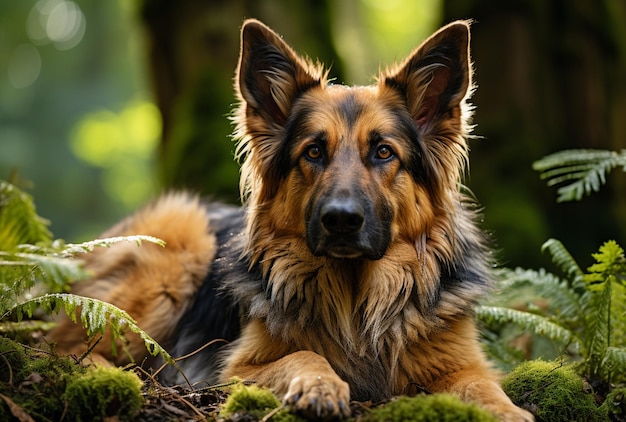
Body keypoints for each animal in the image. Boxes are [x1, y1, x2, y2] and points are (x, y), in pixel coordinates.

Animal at [52, 19, 532, 422]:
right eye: (313, 151)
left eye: (383, 152)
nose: (341, 220)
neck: (356, 300)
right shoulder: (236, 368)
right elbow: (303, 355)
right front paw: (320, 384)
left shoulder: (461, 362)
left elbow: (483, 387)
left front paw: (509, 412)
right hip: (178, 242)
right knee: (65, 344)